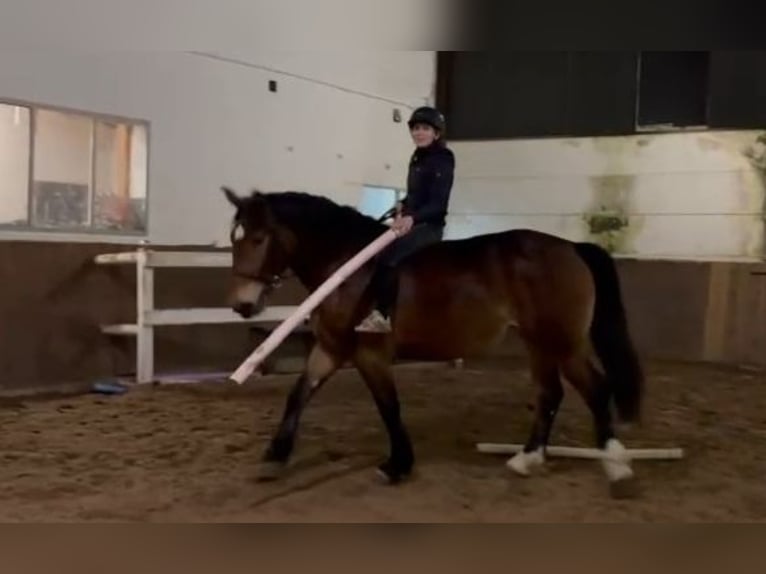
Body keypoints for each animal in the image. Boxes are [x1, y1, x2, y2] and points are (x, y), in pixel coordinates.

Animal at [224, 188, 648, 500]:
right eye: (234, 239)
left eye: (259, 238)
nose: (243, 305)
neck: (346, 268)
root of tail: (572, 246)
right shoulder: (330, 349)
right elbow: (299, 394)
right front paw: (274, 458)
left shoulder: (370, 354)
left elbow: (389, 407)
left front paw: (397, 465)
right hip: (539, 343)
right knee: (550, 394)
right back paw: (526, 460)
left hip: (562, 341)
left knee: (596, 389)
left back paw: (617, 468)